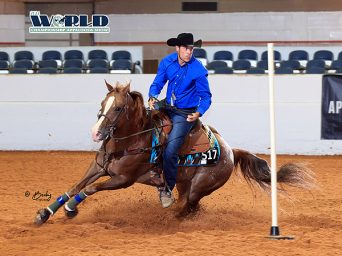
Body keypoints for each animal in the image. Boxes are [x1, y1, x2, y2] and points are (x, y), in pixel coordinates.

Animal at [34, 79, 312, 224]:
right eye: (103, 103)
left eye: (119, 108)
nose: (96, 132)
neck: (131, 140)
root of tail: (230, 151)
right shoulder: (98, 167)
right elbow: (75, 186)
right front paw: (45, 213)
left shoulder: (123, 179)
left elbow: (90, 189)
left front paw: (72, 209)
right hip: (182, 182)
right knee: (186, 204)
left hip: (200, 187)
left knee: (187, 207)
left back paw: (169, 217)